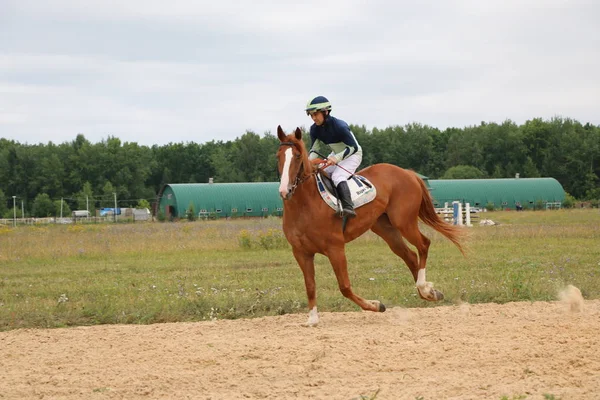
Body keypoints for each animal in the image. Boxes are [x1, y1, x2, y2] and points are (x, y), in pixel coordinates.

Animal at [274, 126, 466, 326]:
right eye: (278, 156)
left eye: (297, 156)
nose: (285, 190)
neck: (305, 205)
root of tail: (407, 173)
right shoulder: (301, 253)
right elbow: (310, 285)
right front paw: (312, 319)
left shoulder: (335, 248)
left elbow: (345, 287)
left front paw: (375, 305)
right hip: (386, 229)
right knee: (411, 256)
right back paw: (428, 292)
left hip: (404, 222)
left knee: (423, 244)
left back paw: (424, 288)